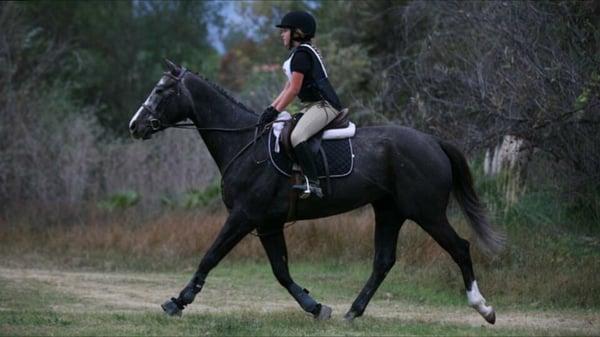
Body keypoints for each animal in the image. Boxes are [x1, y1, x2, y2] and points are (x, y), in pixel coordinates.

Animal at [129, 60, 504, 322]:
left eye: (161, 92)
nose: (135, 126)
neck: (244, 143)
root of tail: (432, 141)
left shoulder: (244, 216)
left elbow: (210, 256)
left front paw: (177, 302)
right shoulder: (267, 223)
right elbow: (281, 271)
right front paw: (316, 307)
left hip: (426, 212)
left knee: (460, 247)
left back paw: (484, 309)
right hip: (389, 211)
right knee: (383, 261)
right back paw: (352, 312)